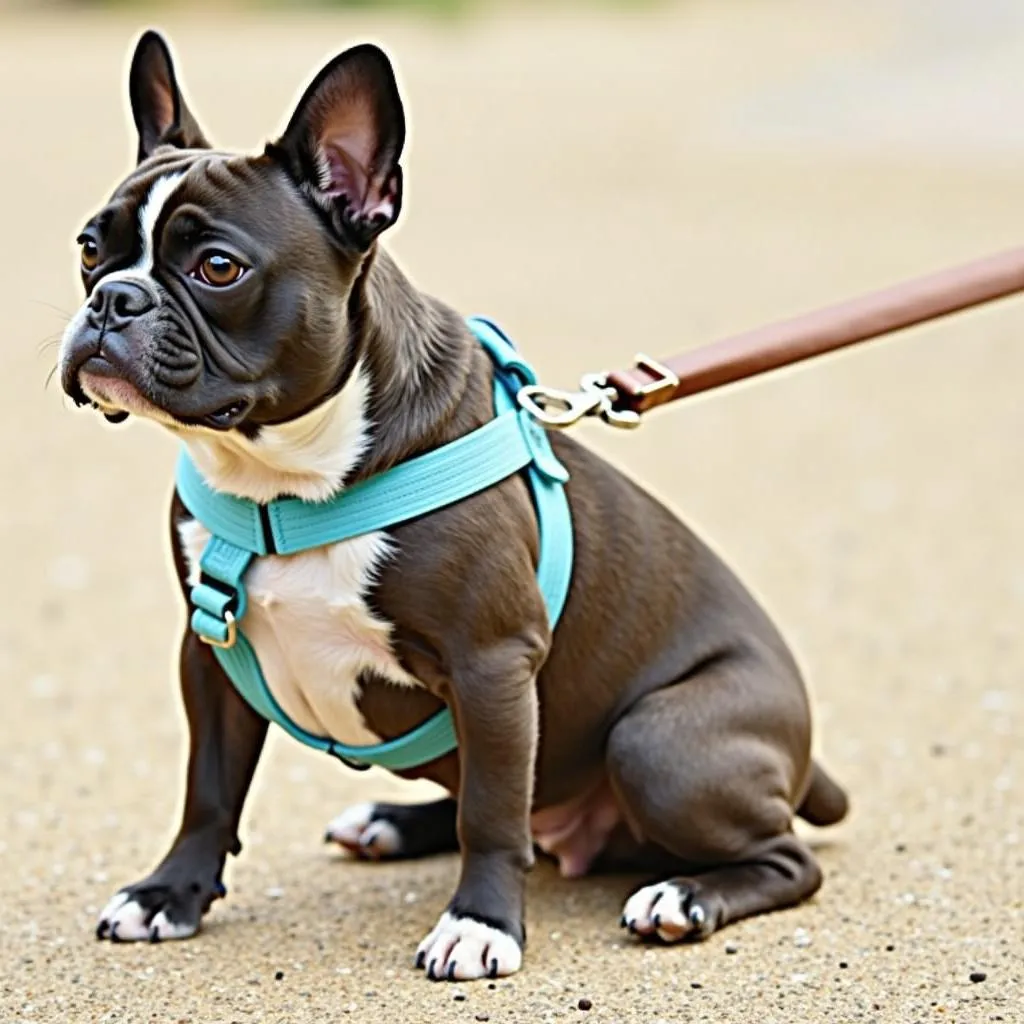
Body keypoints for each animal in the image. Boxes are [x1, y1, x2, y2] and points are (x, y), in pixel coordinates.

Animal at [59, 28, 851, 978]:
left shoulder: (492, 663)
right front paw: (167, 893)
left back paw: (683, 897)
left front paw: (480, 925)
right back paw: (392, 823)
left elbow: (493, 811)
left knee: (780, 856)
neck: (286, 480)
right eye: (89, 250)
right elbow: (209, 788)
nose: (114, 300)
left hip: (662, 742)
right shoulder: (209, 654)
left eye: (219, 268)